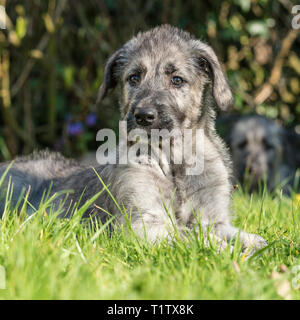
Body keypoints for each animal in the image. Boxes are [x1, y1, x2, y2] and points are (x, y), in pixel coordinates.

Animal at [0, 25, 268, 250]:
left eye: (177, 80)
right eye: (134, 78)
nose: (144, 116)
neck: (174, 160)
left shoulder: (214, 219)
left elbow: (232, 233)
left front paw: (258, 244)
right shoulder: (143, 223)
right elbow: (191, 235)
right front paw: (225, 250)